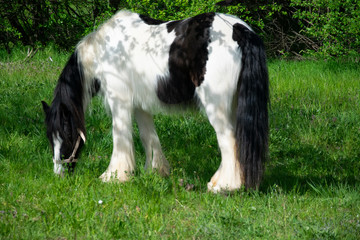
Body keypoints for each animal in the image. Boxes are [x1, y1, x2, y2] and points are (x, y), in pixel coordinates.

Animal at [41, 9, 268, 193]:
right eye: (50, 137)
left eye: (66, 135)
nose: (58, 174)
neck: (105, 49)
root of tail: (239, 30)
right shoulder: (140, 106)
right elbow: (148, 137)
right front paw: (155, 171)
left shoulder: (119, 101)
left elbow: (120, 137)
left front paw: (113, 177)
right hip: (234, 106)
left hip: (216, 107)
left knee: (228, 141)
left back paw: (224, 186)